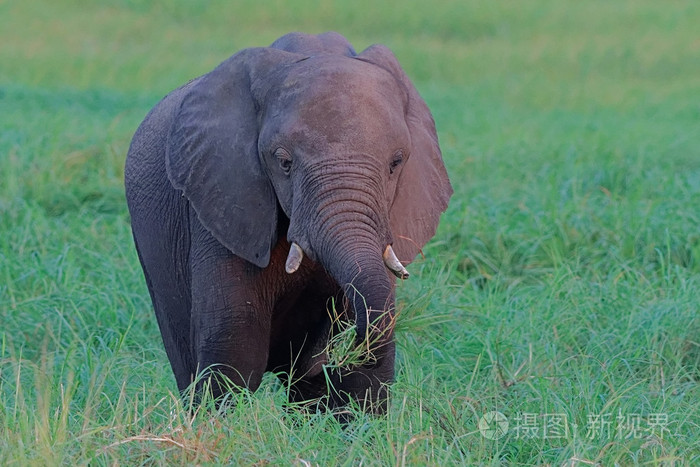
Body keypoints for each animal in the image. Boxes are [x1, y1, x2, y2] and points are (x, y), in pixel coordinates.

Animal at [124, 31, 454, 414]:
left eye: (396, 163)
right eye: (283, 162)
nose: (346, 344)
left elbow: (363, 372)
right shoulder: (222, 194)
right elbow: (234, 344)